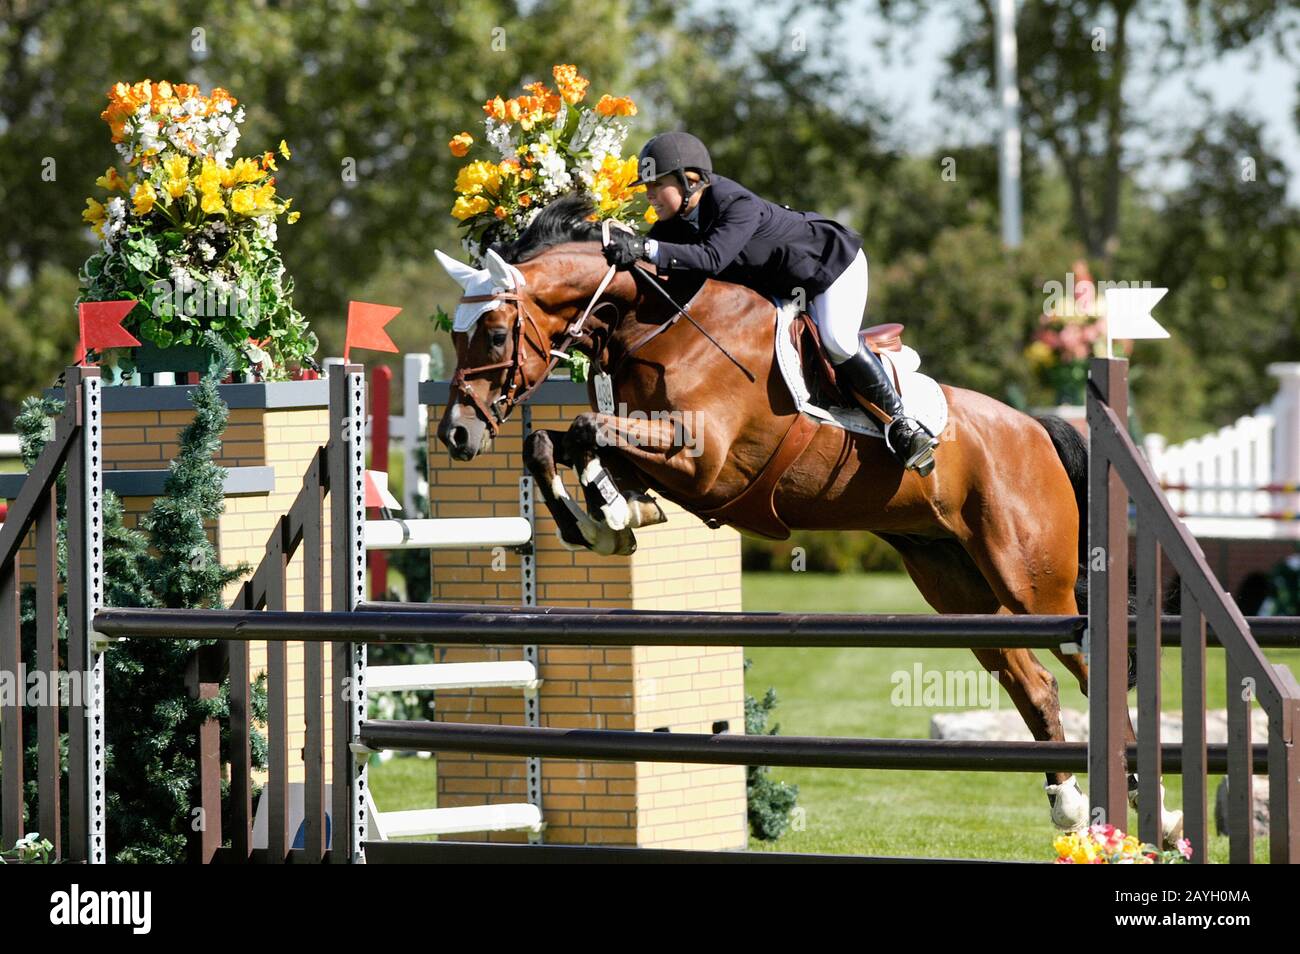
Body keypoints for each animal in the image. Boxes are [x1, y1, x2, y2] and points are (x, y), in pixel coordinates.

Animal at [431, 192, 1185, 842]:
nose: (457, 435)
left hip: (1034, 584)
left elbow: (591, 431)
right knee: (1035, 685)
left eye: (493, 332)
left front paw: (610, 511)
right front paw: (604, 517)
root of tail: (1035, 428)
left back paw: (1153, 810)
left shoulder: (706, 463)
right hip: (958, 585)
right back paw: (1068, 805)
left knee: (1087, 668)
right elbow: (555, 441)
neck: (653, 322)